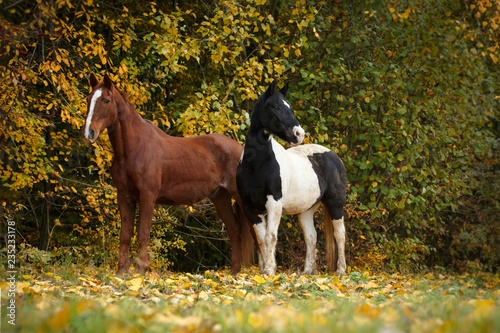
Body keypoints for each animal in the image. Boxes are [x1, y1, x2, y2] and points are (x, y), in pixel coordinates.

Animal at [83, 73, 254, 272]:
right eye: (89, 98)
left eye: (106, 100)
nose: (88, 132)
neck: (133, 149)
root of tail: (241, 149)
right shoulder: (124, 196)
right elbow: (124, 235)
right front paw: (122, 273)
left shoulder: (147, 196)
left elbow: (143, 234)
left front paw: (141, 271)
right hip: (220, 197)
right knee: (235, 231)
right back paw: (234, 272)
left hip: (239, 197)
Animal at [235, 81, 346, 274]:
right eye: (275, 106)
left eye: (290, 107)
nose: (299, 134)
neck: (257, 165)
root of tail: (333, 156)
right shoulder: (250, 207)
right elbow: (262, 239)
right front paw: (265, 270)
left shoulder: (274, 202)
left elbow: (271, 236)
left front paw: (269, 270)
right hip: (307, 210)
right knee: (311, 236)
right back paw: (307, 272)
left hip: (335, 204)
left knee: (339, 234)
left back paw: (341, 270)